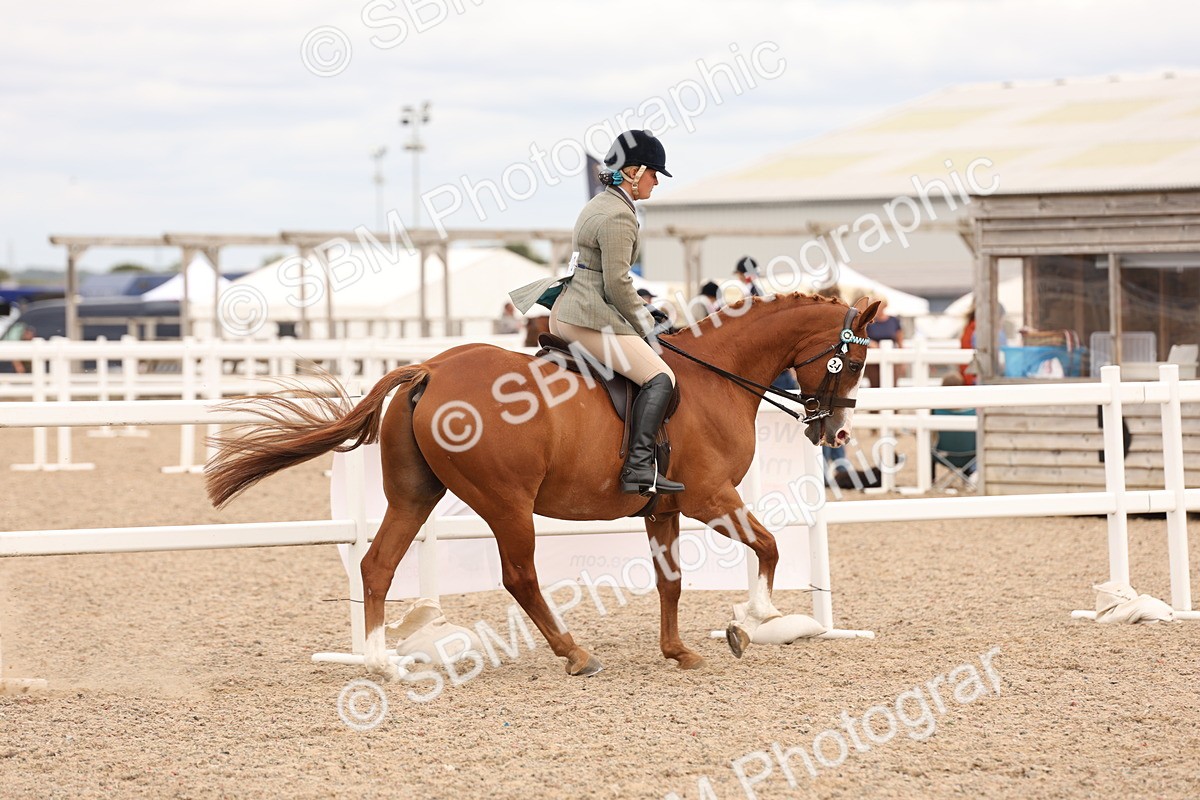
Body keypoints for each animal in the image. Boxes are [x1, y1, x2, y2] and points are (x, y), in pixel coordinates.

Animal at [205, 292, 879, 679]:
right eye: (855, 358)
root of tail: (431, 369)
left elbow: (671, 581)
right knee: (519, 577)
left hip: (417, 494)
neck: (717, 379)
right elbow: (767, 546)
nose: (836, 432)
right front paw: (754, 618)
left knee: (378, 564)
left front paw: (679, 651)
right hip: (507, 502)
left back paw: (381, 663)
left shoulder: (663, 508)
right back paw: (574, 653)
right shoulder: (710, 498)